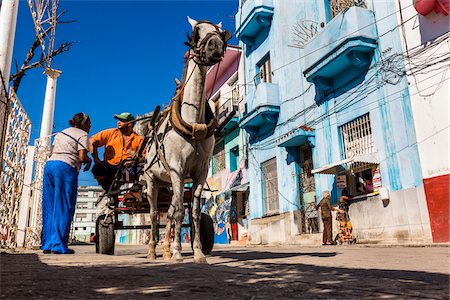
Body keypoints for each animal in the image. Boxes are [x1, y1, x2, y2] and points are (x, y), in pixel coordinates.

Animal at [142, 17, 230, 264]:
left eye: (220, 32)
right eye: (195, 33)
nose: (215, 46)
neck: (192, 122)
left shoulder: (199, 173)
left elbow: (194, 212)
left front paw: (197, 252)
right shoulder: (177, 169)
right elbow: (180, 212)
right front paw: (179, 253)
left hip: (169, 182)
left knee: (170, 211)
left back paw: (165, 249)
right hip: (153, 180)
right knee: (155, 214)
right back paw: (153, 250)